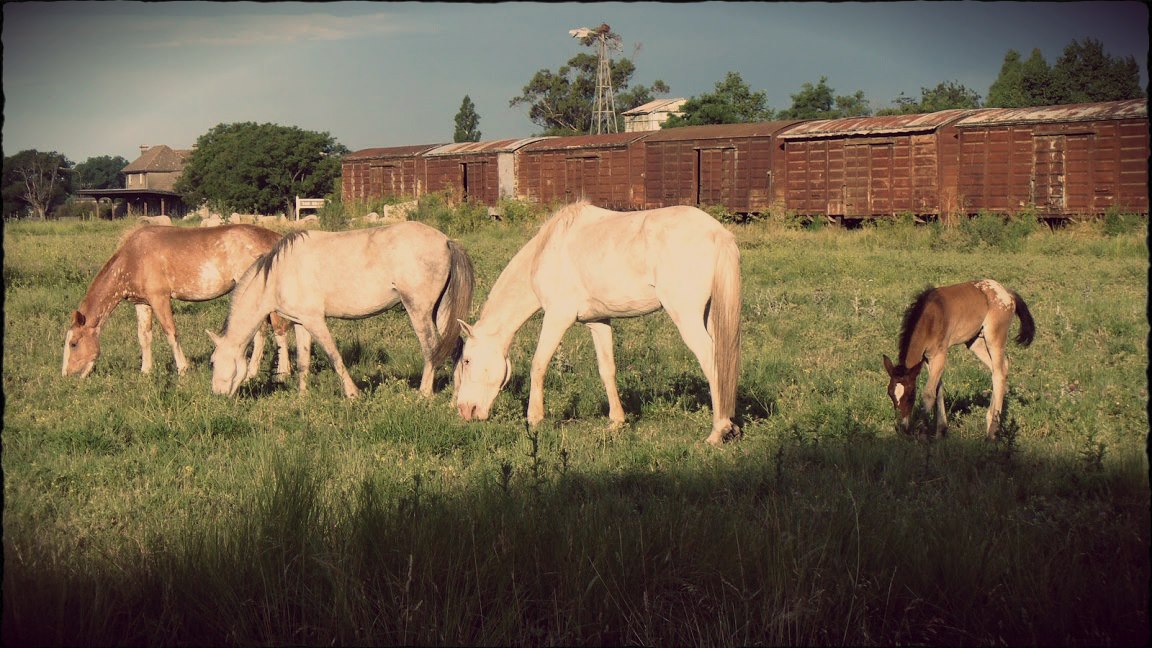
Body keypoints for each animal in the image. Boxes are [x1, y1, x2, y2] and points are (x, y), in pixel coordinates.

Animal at [62, 225, 292, 380]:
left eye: (74, 343)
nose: (66, 374)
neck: (132, 258)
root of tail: (275, 238)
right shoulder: (143, 304)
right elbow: (144, 337)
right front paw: (146, 371)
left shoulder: (160, 299)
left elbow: (170, 333)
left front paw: (183, 369)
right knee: (262, 331)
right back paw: (254, 372)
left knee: (277, 330)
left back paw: (281, 372)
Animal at [209, 219, 474, 396]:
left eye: (213, 361)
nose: (217, 395)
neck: (278, 274)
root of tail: (446, 241)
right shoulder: (302, 322)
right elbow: (303, 361)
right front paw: (302, 398)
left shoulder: (316, 321)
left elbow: (334, 356)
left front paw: (352, 393)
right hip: (440, 311)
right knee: (454, 346)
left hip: (418, 311)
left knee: (431, 348)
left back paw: (424, 394)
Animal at [453, 201, 741, 442]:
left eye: (467, 361)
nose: (465, 411)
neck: (548, 249)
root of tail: (718, 233)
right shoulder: (599, 321)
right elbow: (607, 369)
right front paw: (616, 421)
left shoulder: (557, 317)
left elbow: (538, 364)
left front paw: (534, 418)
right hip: (710, 315)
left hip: (687, 317)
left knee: (713, 360)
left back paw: (718, 431)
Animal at [884, 279, 1041, 438]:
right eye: (890, 393)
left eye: (911, 395)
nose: (901, 427)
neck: (931, 317)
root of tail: (1007, 293)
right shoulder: (927, 358)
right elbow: (938, 388)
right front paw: (940, 431)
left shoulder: (939, 355)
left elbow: (929, 393)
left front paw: (922, 434)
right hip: (976, 342)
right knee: (1001, 367)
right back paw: (989, 420)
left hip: (994, 338)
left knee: (999, 373)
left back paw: (992, 432)